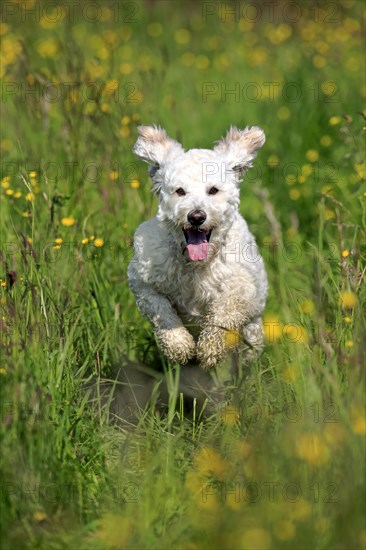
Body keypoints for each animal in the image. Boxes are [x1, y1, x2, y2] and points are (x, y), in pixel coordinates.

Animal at [127, 126, 268, 370]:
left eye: (213, 190)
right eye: (180, 191)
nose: (196, 217)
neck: (196, 264)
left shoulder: (241, 287)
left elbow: (224, 312)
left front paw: (211, 347)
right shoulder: (143, 282)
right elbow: (161, 311)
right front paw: (179, 345)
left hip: (252, 334)